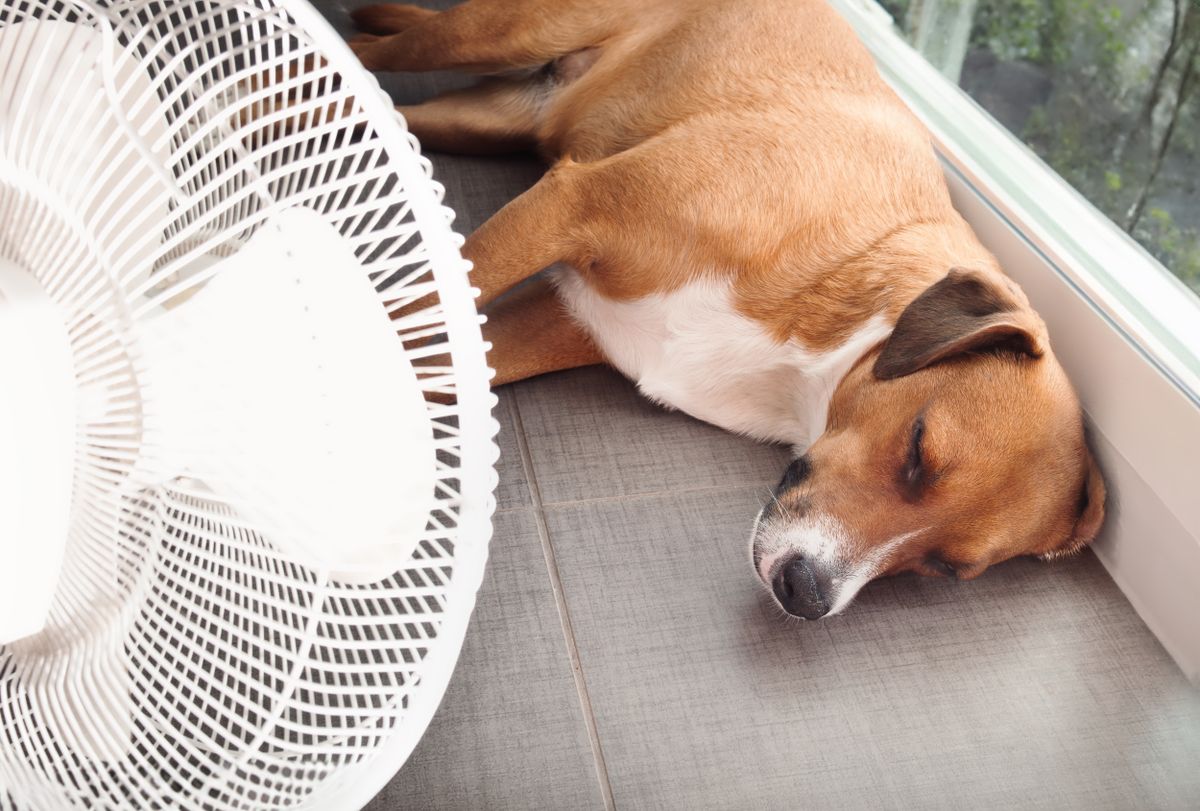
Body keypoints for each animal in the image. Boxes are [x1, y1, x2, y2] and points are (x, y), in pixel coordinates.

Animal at [345, 0, 1104, 619]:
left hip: (479, 117)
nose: (806, 593)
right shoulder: (570, 206)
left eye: (944, 568)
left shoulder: (561, 316)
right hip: (491, 35)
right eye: (918, 452)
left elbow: (422, 352)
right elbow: (413, 315)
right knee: (365, 53)